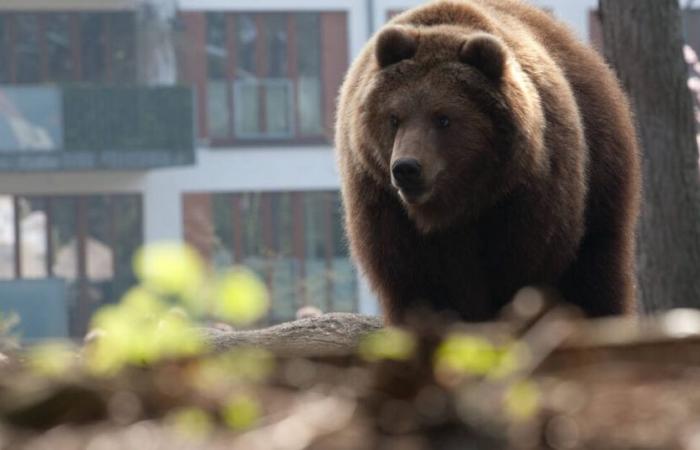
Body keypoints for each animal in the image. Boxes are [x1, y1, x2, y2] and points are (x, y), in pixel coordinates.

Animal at [336, 0, 644, 324]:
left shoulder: (525, 200)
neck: (455, 206)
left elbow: (520, 275)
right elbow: (419, 284)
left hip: (600, 181)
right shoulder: (387, 210)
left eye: (443, 118)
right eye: (394, 118)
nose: (406, 168)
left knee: (596, 270)